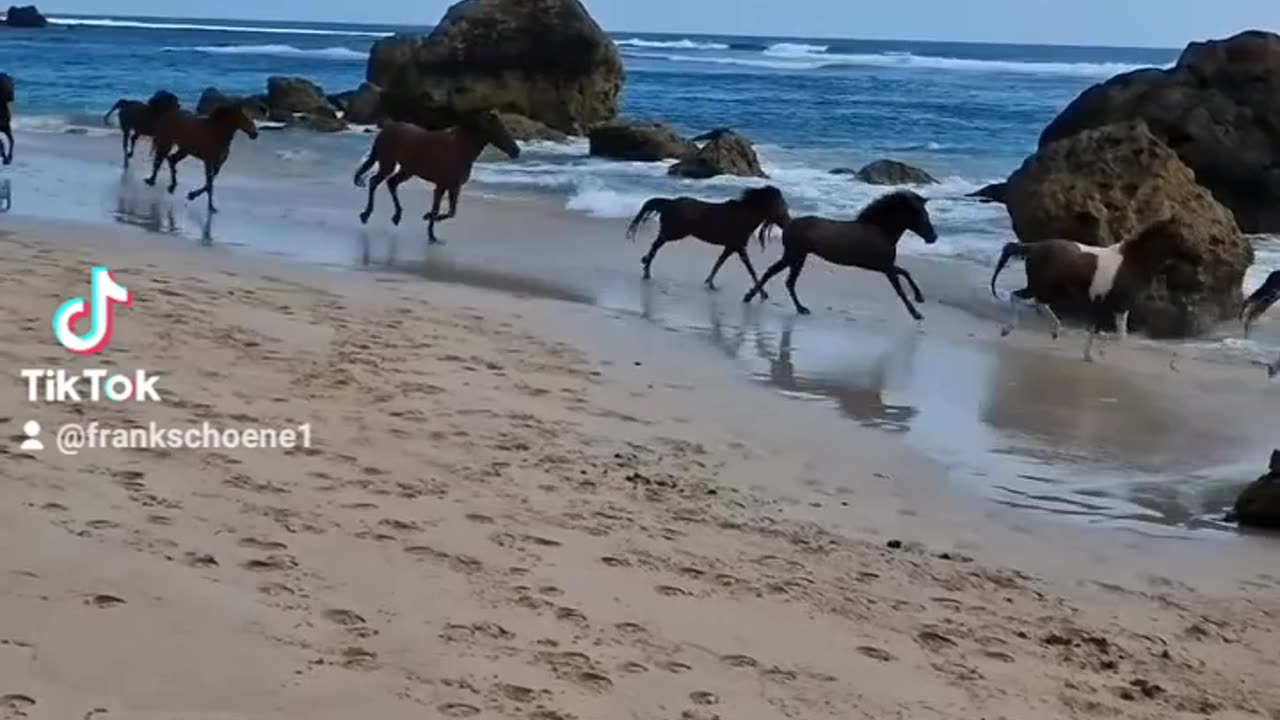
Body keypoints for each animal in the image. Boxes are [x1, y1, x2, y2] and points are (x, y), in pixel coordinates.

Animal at [350, 109, 519, 243]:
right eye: (500, 130)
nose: (516, 151)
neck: (460, 149)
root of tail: (385, 131)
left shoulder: (453, 187)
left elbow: (451, 212)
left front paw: (429, 222)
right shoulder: (442, 185)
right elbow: (439, 210)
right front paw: (431, 232)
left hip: (407, 170)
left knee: (391, 183)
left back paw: (396, 217)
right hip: (388, 164)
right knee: (374, 182)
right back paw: (366, 215)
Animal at [622, 183, 788, 293]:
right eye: (780, 206)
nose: (787, 223)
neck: (744, 215)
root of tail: (669, 202)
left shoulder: (731, 247)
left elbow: (719, 263)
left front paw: (710, 282)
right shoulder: (739, 247)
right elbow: (750, 269)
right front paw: (763, 294)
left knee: (655, 245)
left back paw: (645, 266)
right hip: (673, 233)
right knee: (655, 245)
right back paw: (646, 269)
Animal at [742, 188, 942, 316]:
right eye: (919, 215)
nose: (933, 237)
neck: (880, 230)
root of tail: (789, 223)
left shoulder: (883, 266)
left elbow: (905, 273)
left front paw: (919, 298)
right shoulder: (885, 267)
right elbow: (900, 289)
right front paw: (916, 313)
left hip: (794, 256)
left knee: (776, 275)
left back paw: (752, 297)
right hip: (795, 256)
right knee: (786, 280)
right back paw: (799, 308)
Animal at [988, 219, 1198, 361]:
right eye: (1182, 236)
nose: (1199, 257)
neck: (1131, 264)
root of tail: (1034, 247)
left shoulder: (1114, 306)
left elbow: (1109, 332)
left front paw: (1090, 355)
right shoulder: (1115, 306)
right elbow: (1110, 333)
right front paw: (1096, 354)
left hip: (1053, 289)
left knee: (1039, 303)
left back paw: (1055, 331)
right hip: (1040, 286)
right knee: (1017, 297)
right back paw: (1007, 330)